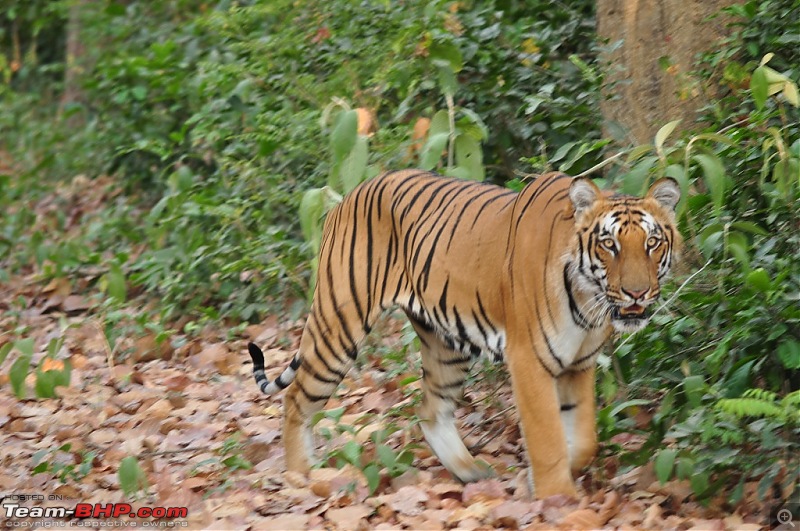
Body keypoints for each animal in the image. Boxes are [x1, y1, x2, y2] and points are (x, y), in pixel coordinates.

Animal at [248, 169, 680, 498]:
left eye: (652, 242)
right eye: (609, 245)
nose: (637, 293)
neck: (589, 300)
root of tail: (347, 195)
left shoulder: (579, 364)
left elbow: (585, 438)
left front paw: (547, 480)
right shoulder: (529, 361)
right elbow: (548, 438)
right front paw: (560, 500)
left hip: (445, 342)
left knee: (430, 410)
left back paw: (471, 471)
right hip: (339, 324)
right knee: (296, 399)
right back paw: (300, 478)